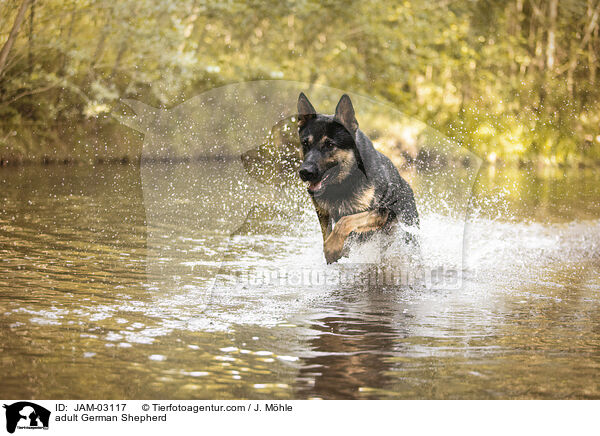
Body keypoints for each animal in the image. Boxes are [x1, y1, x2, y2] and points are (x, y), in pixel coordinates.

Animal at [296, 93, 418, 262]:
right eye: (305, 143)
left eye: (329, 145)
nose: (305, 172)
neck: (344, 181)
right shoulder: (323, 213)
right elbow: (327, 234)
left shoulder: (380, 212)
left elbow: (345, 221)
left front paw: (332, 249)